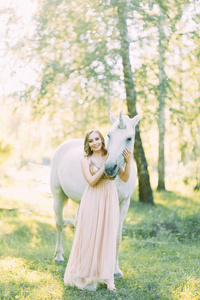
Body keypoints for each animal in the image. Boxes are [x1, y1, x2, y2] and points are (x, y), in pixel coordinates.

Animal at [50, 111, 139, 278]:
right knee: (59, 224)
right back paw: (59, 256)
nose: (110, 168)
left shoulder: (124, 205)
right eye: (109, 135)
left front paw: (115, 271)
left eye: (129, 138)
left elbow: (116, 237)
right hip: (58, 195)